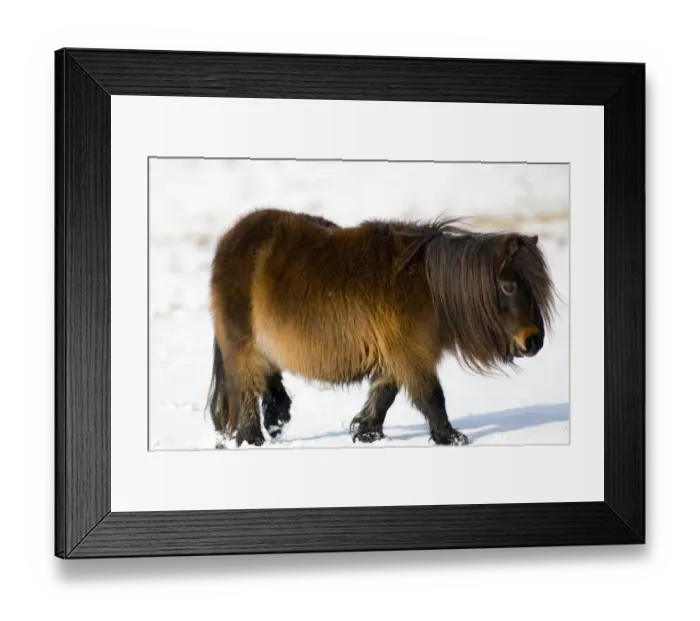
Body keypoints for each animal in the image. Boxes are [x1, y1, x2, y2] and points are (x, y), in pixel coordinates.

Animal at [206, 208, 555, 448]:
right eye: (509, 286)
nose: (534, 341)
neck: (428, 286)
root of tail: (230, 239)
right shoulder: (411, 355)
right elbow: (432, 397)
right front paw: (450, 436)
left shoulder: (394, 355)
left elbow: (383, 394)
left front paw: (367, 432)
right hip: (243, 347)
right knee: (247, 389)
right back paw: (253, 438)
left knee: (269, 379)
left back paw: (277, 419)